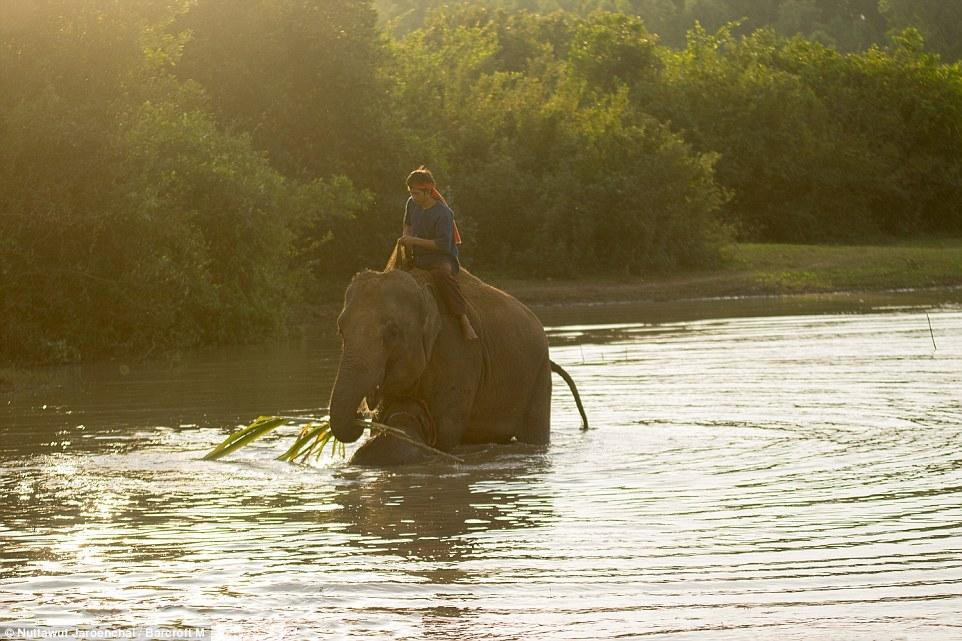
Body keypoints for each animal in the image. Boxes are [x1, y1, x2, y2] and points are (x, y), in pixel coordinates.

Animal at [328, 266, 584, 464]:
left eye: (392, 332)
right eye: (340, 329)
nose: (359, 413)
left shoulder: (458, 353)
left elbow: (445, 432)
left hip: (538, 374)